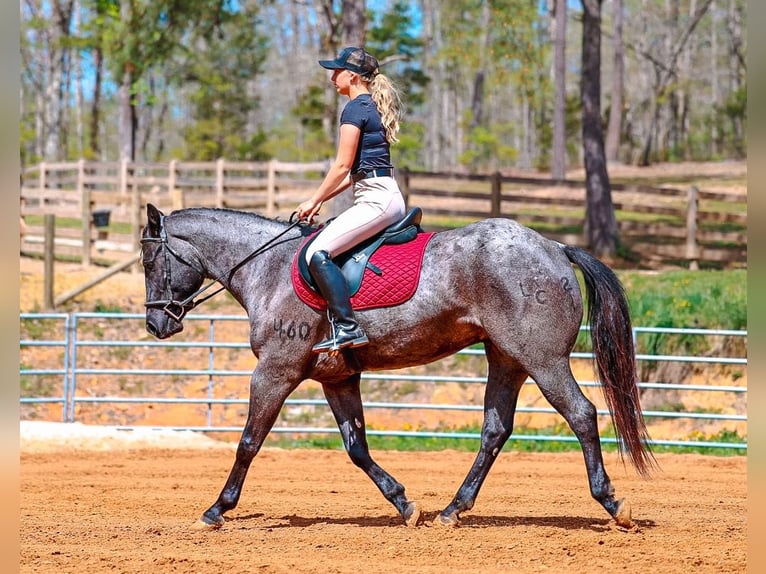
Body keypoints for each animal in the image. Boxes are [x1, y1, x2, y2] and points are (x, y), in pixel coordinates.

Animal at [140, 203, 654, 530]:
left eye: (148, 260)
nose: (155, 323)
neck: (267, 269)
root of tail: (554, 247)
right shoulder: (338, 378)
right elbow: (357, 449)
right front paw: (404, 504)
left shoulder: (274, 372)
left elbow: (248, 443)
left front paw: (216, 510)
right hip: (506, 359)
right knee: (495, 430)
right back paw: (452, 510)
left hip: (542, 359)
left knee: (581, 415)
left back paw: (612, 503)